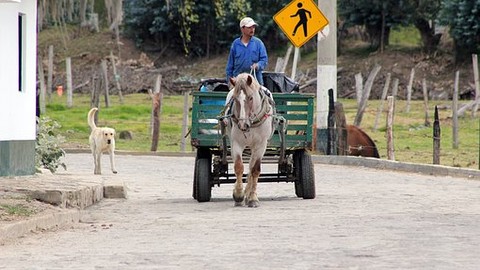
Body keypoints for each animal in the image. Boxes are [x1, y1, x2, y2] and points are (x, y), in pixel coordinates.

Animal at [225, 73, 274, 208]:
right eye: (235, 98)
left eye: (251, 98)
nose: (243, 124)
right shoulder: (236, 143)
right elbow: (238, 167)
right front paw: (238, 195)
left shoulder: (261, 145)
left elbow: (255, 169)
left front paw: (252, 198)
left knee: (252, 166)